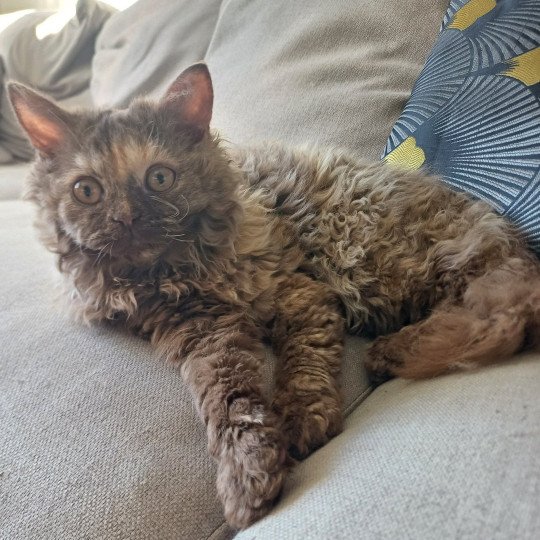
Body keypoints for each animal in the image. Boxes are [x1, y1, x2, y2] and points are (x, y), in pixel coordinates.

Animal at [9, 62, 540, 528]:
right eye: (87, 191)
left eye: (159, 178)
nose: (126, 218)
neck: (176, 274)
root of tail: (505, 234)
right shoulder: (201, 334)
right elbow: (232, 405)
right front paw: (249, 475)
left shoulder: (301, 295)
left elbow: (302, 369)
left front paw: (301, 423)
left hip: (381, 258)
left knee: (499, 312)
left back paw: (393, 351)